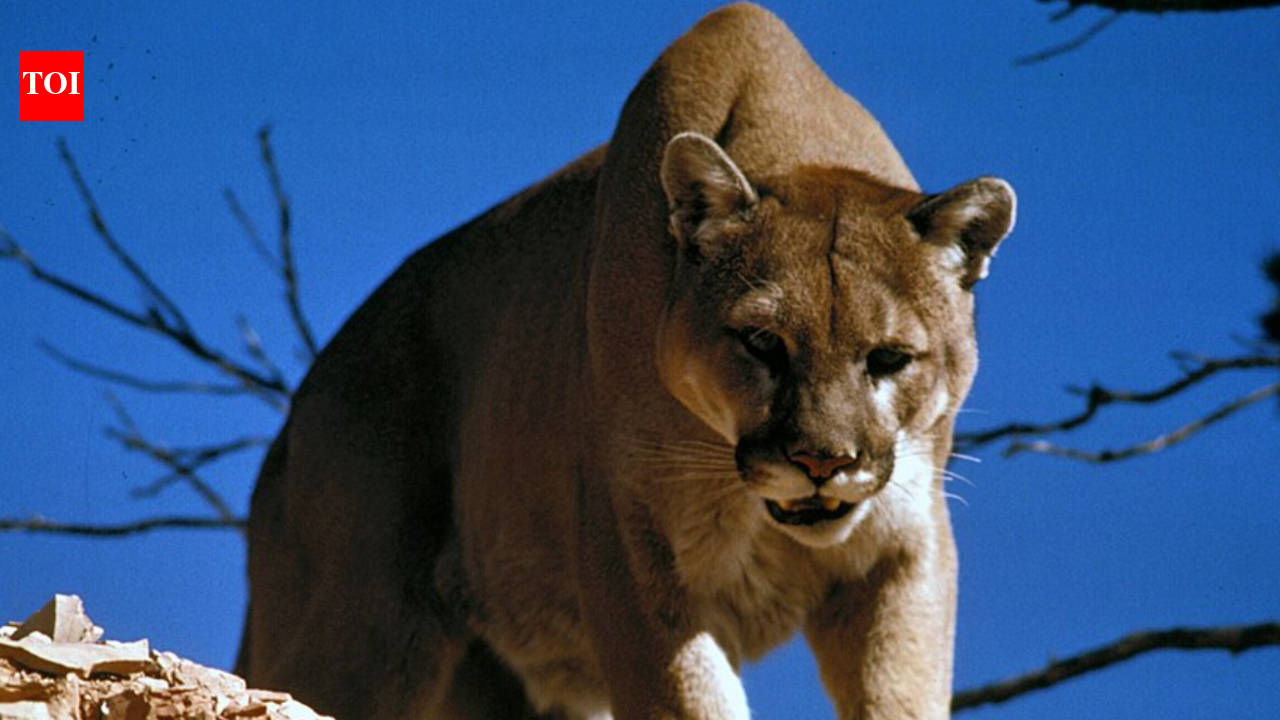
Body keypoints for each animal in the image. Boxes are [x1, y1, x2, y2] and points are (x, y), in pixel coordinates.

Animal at [238, 4, 1016, 720]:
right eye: (762, 342)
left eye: (889, 357)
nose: (822, 462)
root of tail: (295, 417)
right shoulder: (634, 549)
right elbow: (689, 696)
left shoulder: (904, 549)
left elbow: (900, 694)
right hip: (360, 626)